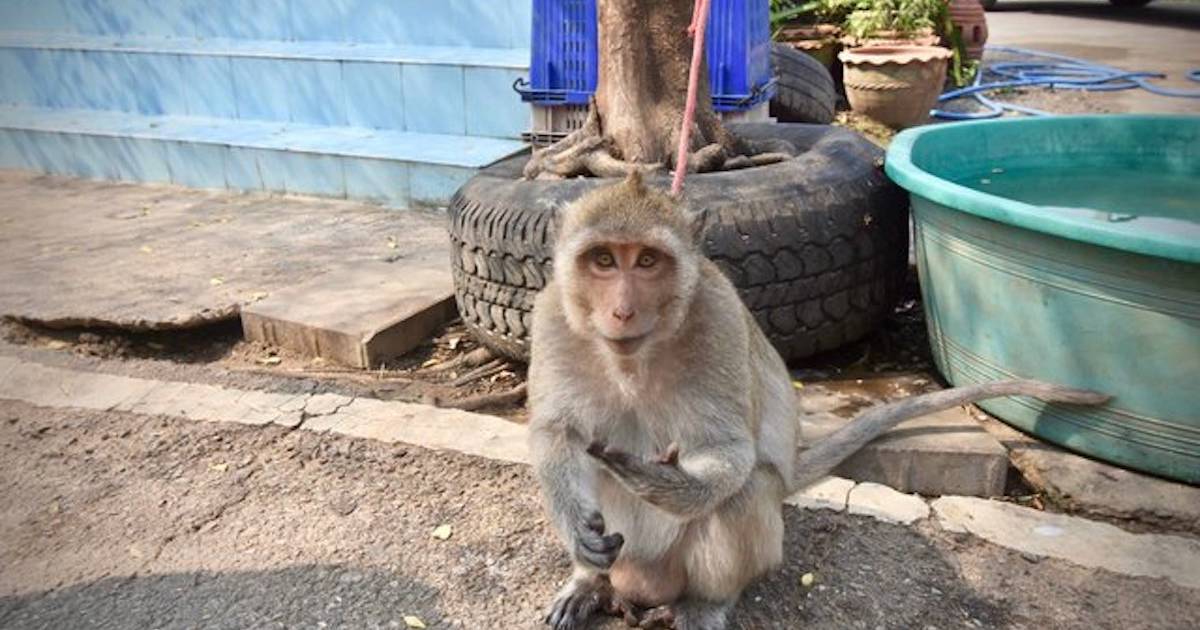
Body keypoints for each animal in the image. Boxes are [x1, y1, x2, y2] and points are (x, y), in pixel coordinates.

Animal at [530, 172, 1108, 628]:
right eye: (604, 260)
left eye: (648, 260)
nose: (623, 311)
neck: (635, 357)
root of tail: (641, 588)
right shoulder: (551, 317)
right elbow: (556, 434)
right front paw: (576, 530)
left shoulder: (716, 318)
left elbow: (729, 452)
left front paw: (665, 483)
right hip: (627, 561)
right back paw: (590, 583)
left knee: (746, 490)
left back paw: (704, 604)